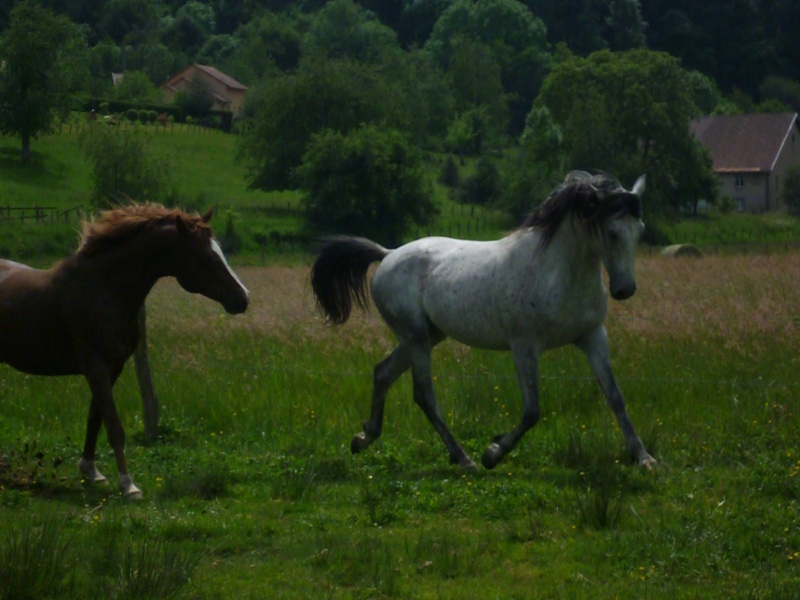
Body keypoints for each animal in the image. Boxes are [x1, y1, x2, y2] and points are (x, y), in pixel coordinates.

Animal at [0, 204, 248, 500]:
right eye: (206, 258)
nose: (243, 299)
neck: (104, 289)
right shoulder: (94, 365)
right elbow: (114, 426)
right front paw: (128, 484)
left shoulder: (113, 366)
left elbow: (96, 418)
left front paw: (91, 471)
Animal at [312, 171, 656, 472]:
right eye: (611, 232)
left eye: (640, 230)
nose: (625, 290)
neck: (556, 271)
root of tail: (387, 254)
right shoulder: (525, 346)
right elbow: (532, 411)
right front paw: (493, 453)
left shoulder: (592, 336)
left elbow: (615, 397)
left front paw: (644, 458)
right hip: (416, 338)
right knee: (424, 395)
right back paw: (464, 458)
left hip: (427, 336)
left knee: (383, 373)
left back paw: (363, 438)